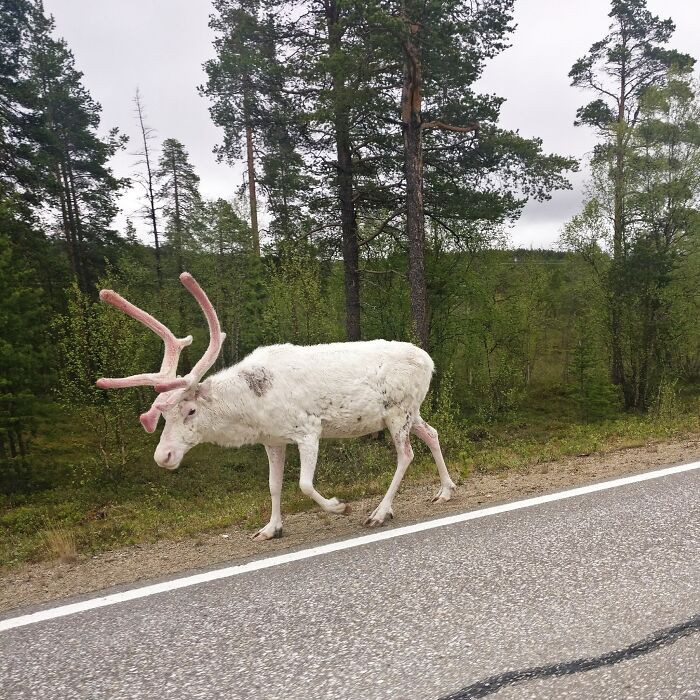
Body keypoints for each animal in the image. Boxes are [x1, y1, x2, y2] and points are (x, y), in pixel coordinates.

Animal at [96, 272, 457, 540]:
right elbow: (273, 485)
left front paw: (340, 506)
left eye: (191, 410)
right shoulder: (271, 440)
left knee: (406, 454)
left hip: (398, 410)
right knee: (432, 433)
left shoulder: (308, 429)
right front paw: (270, 528)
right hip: (409, 411)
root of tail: (429, 361)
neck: (250, 411)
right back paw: (446, 490)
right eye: (162, 415)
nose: (163, 455)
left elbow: (304, 484)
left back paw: (380, 512)